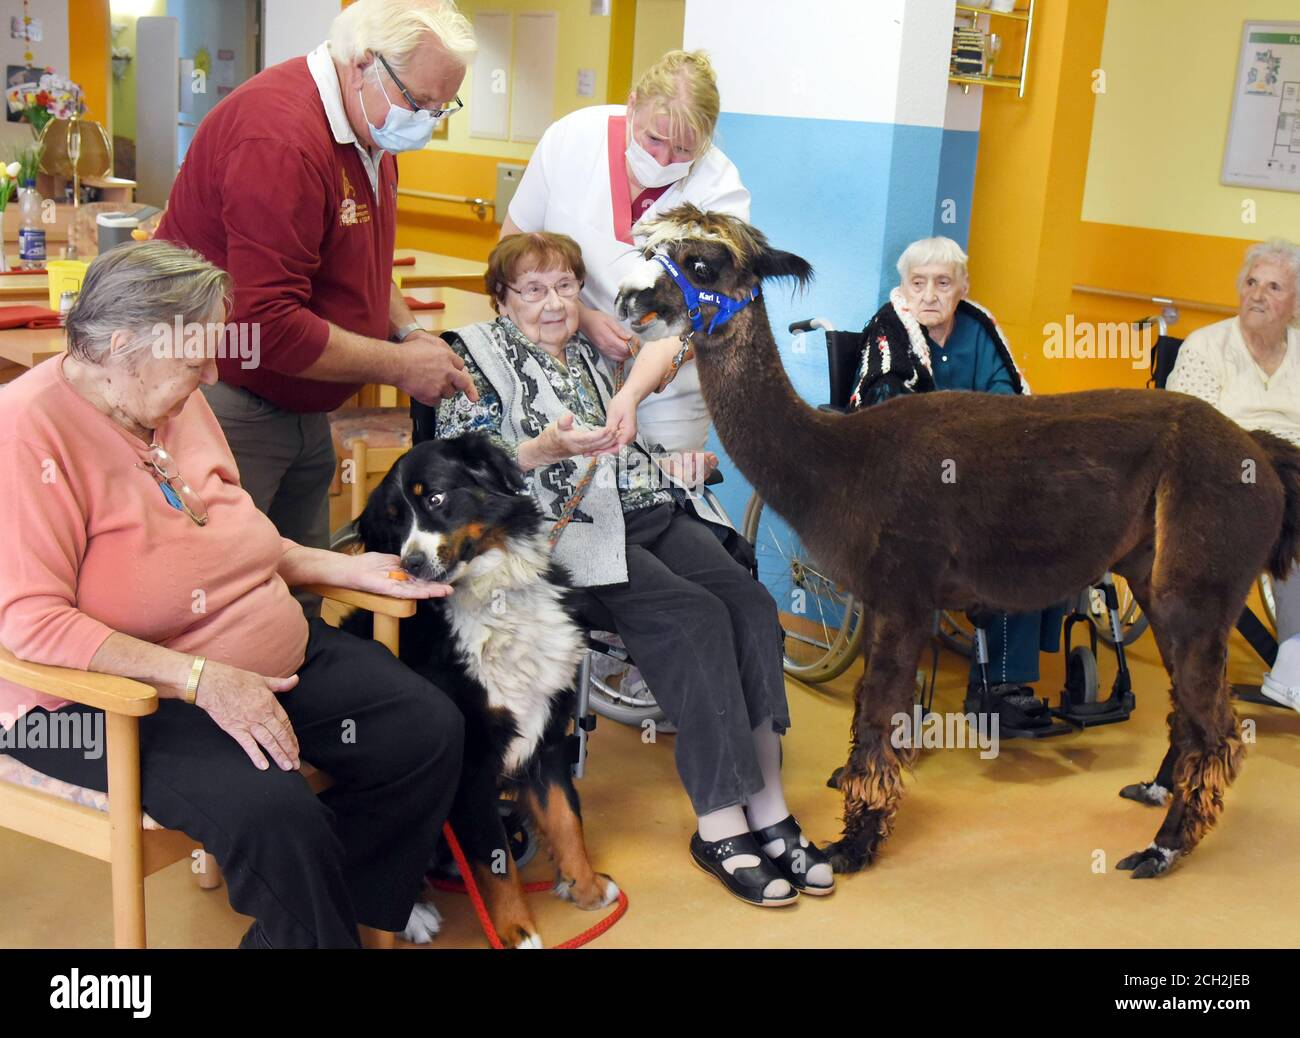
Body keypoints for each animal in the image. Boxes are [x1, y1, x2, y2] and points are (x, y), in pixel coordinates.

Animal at [345, 431, 618, 952]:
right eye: (394, 522)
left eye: (434, 498)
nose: (411, 563)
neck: (494, 600)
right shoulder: (470, 766)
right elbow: (496, 863)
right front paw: (518, 931)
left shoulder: (546, 737)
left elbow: (567, 822)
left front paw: (587, 887)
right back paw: (413, 914)